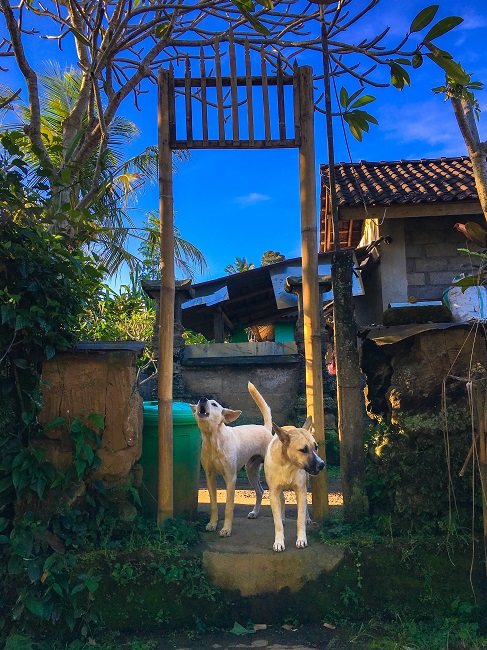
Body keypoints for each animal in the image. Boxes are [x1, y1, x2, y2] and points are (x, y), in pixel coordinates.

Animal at [190, 382, 272, 537]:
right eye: (199, 402)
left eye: (214, 404)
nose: (202, 399)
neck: (214, 440)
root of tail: (265, 428)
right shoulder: (210, 477)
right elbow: (214, 504)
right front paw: (212, 524)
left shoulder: (230, 478)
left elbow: (229, 506)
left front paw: (226, 529)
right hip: (251, 471)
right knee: (260, 491)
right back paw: (255, 513)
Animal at [264, 416, 325, 552]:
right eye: (303, 450)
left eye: (316, 447)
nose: (322, 464)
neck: (288, 464)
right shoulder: (273, 492)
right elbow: (277, 522)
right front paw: (279, 542)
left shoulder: (300, 490)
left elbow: (300, 519)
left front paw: (301, 539)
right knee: (282, 500)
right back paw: (282, 517)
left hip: (305, 484)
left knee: (305, 505)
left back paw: (307, 519)